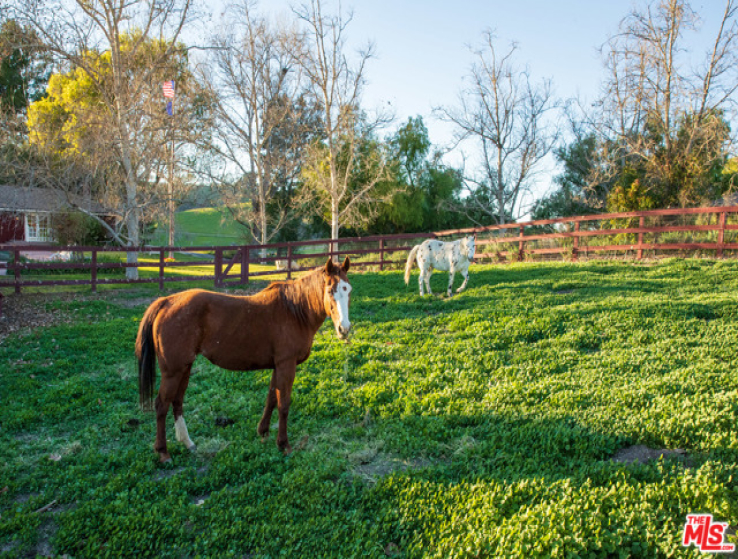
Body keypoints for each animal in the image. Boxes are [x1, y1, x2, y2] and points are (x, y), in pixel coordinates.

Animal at [136, 256, 350, 462]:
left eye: (348, 291)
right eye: (330, 291)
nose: (344, 329)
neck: (295, 310)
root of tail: (166, 301)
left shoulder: (277, 366)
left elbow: (271, 398)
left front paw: (263, 432)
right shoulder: (286, 365)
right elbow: (283, 404)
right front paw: (283, 444)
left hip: (185, 367)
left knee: (177, 401)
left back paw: (188, 443)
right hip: (173, 371)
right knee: (162, 404)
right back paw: (163, 452)